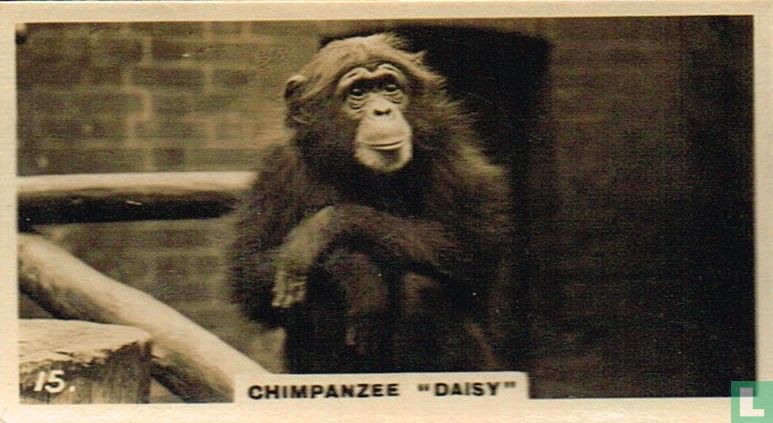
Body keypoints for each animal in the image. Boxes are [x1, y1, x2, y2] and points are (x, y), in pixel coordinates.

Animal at [228, 33, 520, 373]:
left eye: (389, 87)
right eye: (358, 92)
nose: (382, 111)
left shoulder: (452, 154)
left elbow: (473, 246)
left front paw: (321, 230)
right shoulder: (277, 166)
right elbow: (249, 274)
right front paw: (355, 272)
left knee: (420, 288)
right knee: (318, 294)